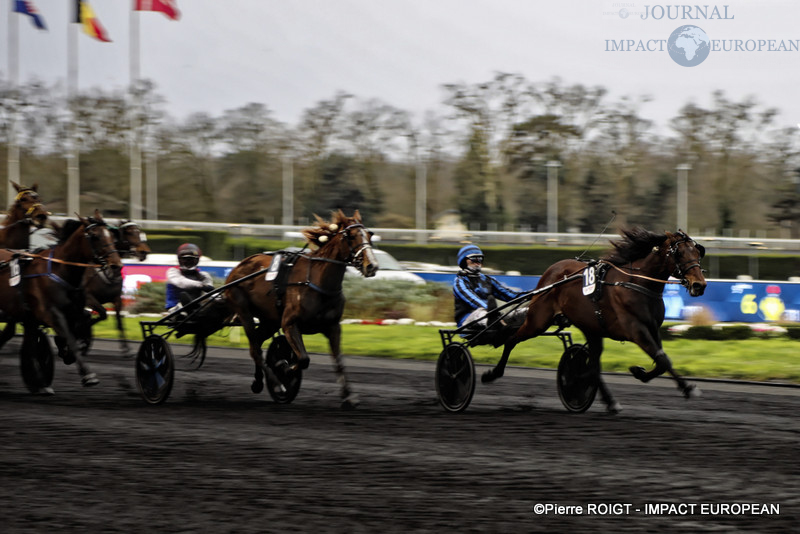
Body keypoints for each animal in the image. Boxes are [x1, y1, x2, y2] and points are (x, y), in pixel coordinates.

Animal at [0, 210, 122, 390]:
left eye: (112, 236)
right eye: (94, 236)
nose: (116, 265)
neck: (61, 270)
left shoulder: (74, 311)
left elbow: (81, 327)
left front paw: (69, 350)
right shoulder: (52, 314)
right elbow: (69, 338)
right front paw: (88, 375)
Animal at [82, 220, 151, 358]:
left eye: (139, 231)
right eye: (129, 232)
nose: (144, 252)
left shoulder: (116, 298)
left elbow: (119, 323)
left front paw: (126, 349)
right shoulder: (88, 298)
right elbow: (101, 315)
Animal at [223, 210, 376, 410]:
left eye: (369, 235)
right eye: (350, 236)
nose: (371, 265)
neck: (318, 281)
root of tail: (238, 267)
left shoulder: (333, 326)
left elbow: (339, 361)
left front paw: (348, 397)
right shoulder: (289, 323)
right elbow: (302, 359)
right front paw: (284, 370)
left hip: (269, 321)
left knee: (257, 344)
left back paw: (257, 381)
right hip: (244, 311)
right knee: (255, 350)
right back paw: (275, 383)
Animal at [482, 227, 708, 414]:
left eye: (698, 253)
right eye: (680, 253)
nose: (700, 285)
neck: (637, 283)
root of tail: (551, 273)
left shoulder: (651, 328)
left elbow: (663, 360)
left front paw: (666, 381)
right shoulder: (635, 329)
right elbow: (662, 359)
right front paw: (678, 385)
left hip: (590, 327)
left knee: (594, 363)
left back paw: (608, 400)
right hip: (538, 320)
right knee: (511, 340)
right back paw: (493, 374)